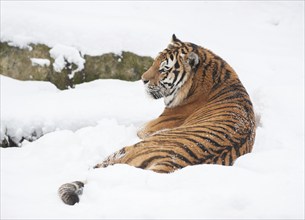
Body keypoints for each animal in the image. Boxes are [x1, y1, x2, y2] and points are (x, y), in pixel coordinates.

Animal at [57, 33, 254, 205]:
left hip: (126, 150)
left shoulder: (147, 129)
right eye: (154, 62)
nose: (142, 79)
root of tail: (167, 165)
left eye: (164, 69)